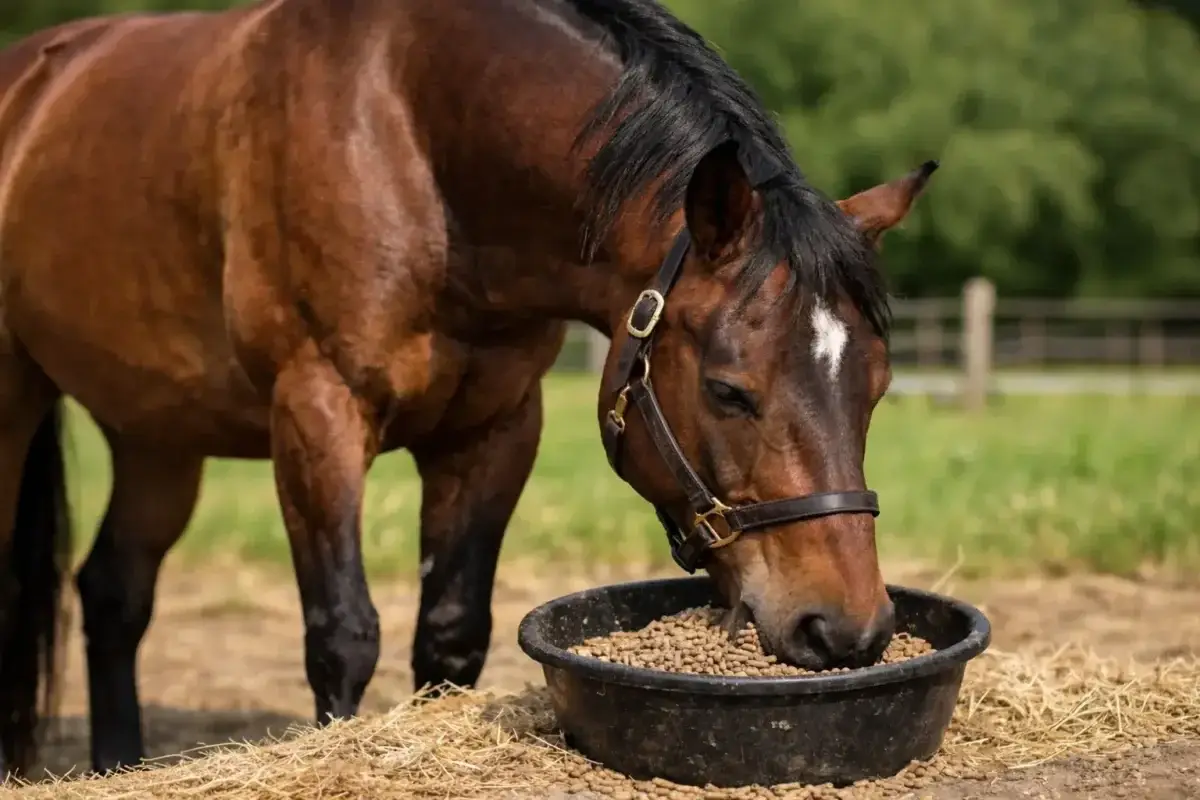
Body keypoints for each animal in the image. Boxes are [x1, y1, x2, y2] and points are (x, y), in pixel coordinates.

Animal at [0, 0, 936, 778]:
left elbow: (451, 632)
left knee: (114, 593)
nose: (846, 628)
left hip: (154, 430)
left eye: (876, 387)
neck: (410, 130)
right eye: (728, 389)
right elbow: (343, 632)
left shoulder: (494, 428)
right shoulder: (317, 413)